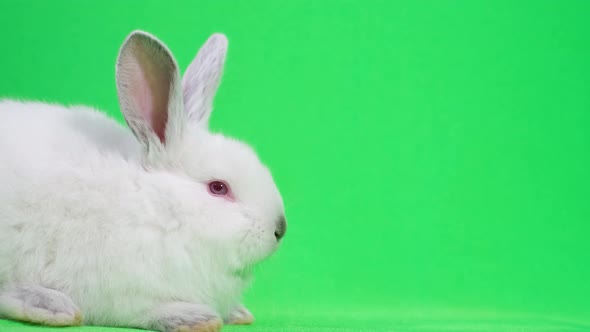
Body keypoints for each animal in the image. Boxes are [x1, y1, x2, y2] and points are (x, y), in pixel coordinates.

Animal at [0, 31, 288, 332]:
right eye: (218, 187)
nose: (280, 228)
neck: (156, 208)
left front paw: (238, 313)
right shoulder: (117, 289)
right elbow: (141, 311)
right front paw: (193, 317)